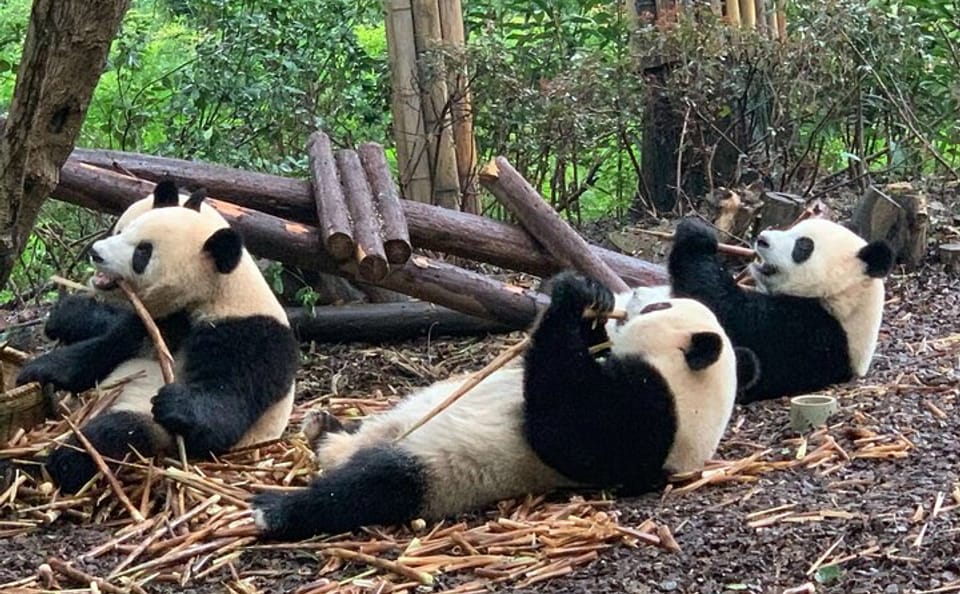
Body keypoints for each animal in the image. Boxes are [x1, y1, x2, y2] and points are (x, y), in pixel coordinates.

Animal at [15, 182, 299, 493]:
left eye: (143, 252)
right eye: (124, 230)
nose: (96, 252)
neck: (214, 294)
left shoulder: (249, 337)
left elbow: (224, 414)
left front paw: (175, 402)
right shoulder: (152, 322)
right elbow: (99, 352)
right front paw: (36, 370)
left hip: (154, 431)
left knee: (119, 431)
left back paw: (62, 462)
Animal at [252, 272, 756, 541]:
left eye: (659, 307)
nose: (632, 296)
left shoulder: (648, 419)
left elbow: (563, 425)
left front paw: (571, 297)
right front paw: (591, 298)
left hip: (437, 469)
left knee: (370, 487)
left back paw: (276, 509)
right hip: (396, 421)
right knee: (358, 441)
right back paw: (322, 426)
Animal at [667, 217, 894, 403]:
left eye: (803, 246)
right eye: (793, 228)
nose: (762, 239)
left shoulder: (809, 333)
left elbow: (728, 309)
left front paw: (697, 236)